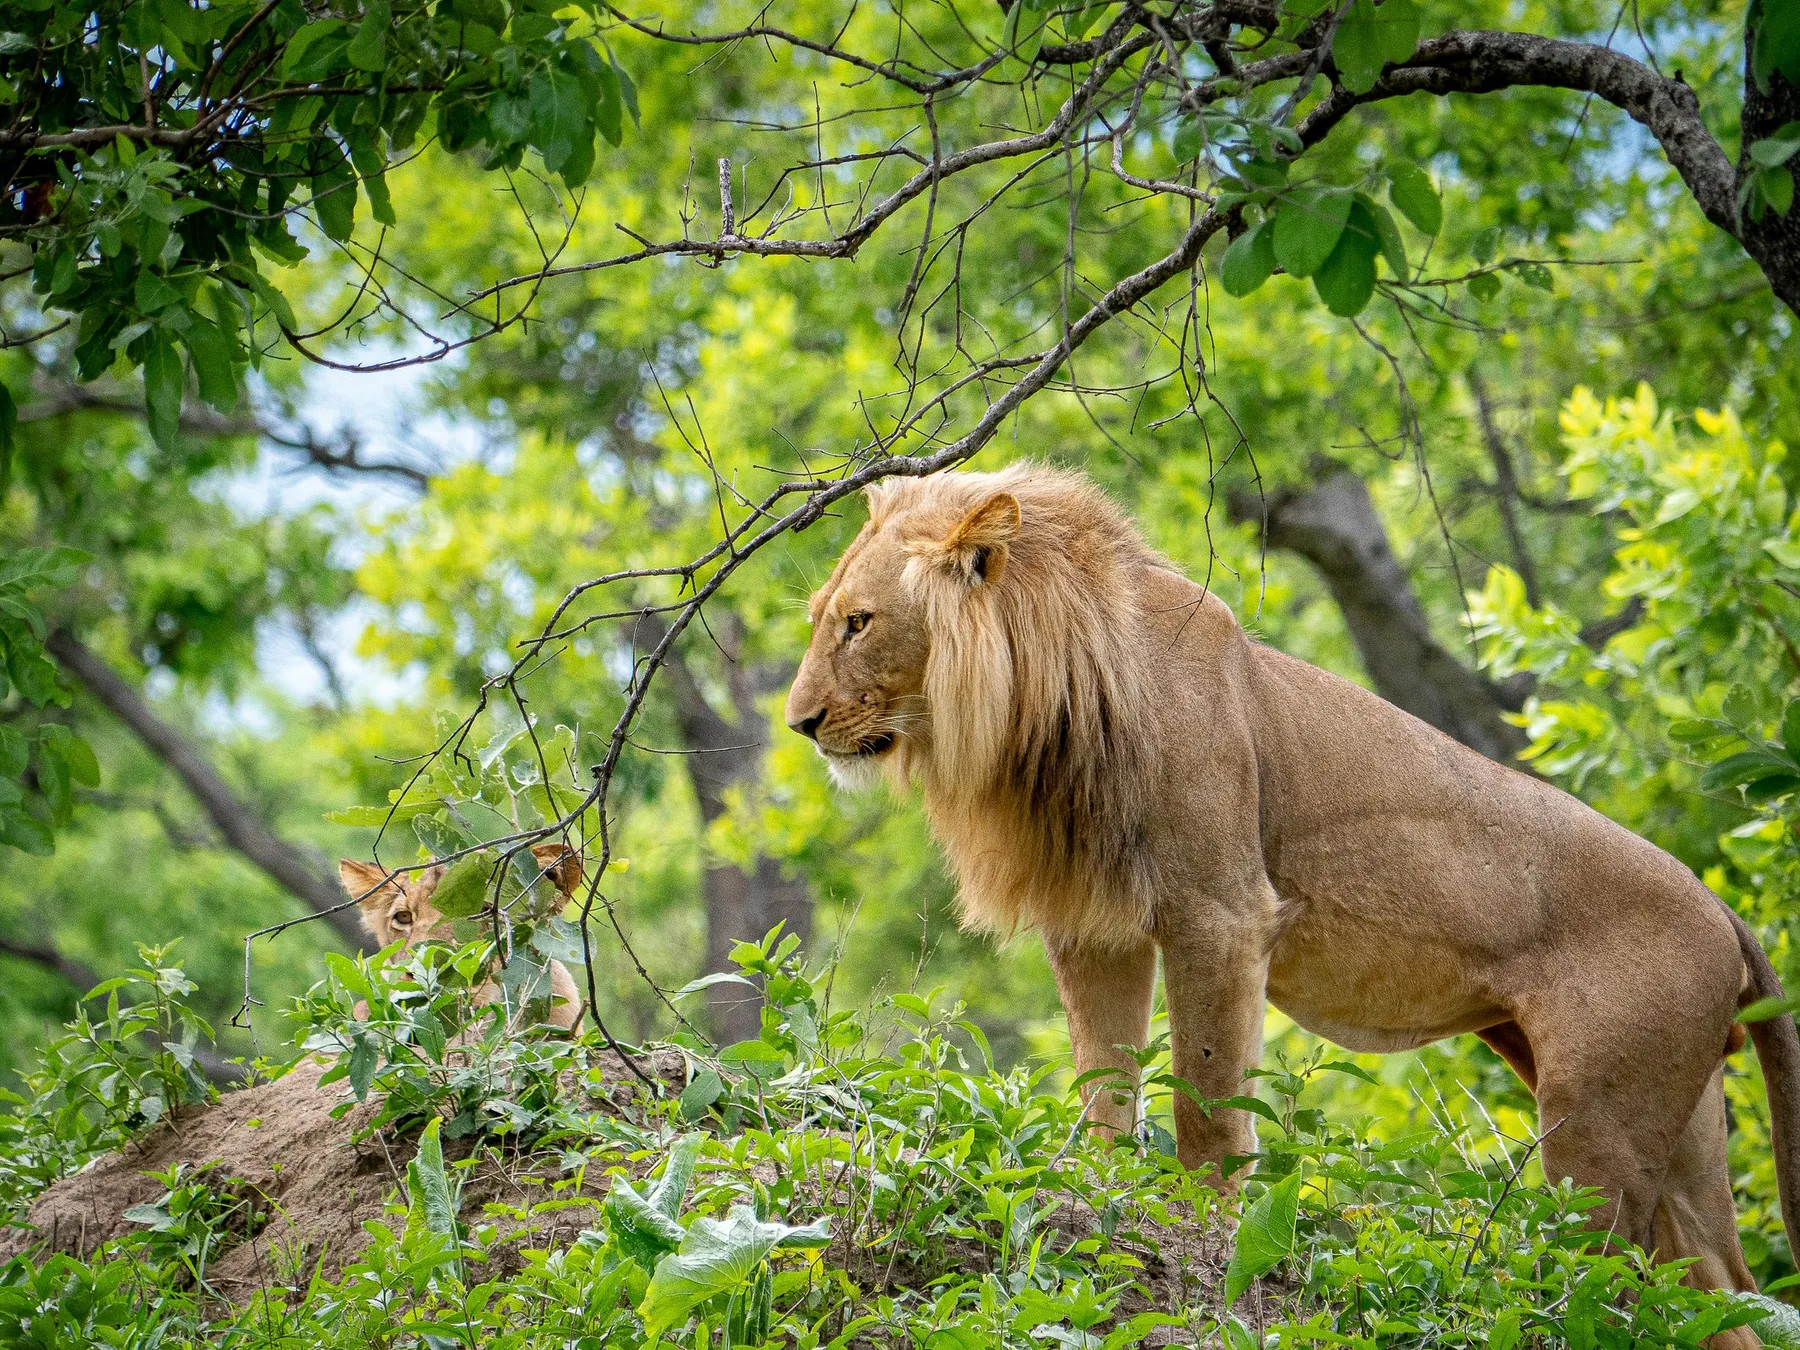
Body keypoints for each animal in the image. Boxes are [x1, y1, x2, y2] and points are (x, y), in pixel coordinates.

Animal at [783, 462, 1800, 1329]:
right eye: (826, 618)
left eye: (858, 624)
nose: (799, 724)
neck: (1046, 699)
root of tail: (1725, 913)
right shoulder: (1094, 926)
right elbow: (1104, 1080)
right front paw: (1103, 1200)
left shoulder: (1221, 913)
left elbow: (1204, 1100)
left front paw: (1202, 1229)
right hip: (1673, 1133)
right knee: (1726, 1298)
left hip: (1596, 1129)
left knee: (1608, 1288)